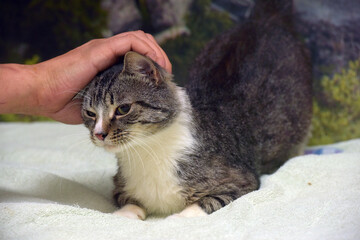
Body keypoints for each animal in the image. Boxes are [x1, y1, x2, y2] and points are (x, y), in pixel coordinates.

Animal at [80, 0, 310, 220]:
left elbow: (206, 202)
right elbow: (128, 199)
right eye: (90, 114)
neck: (148, 152)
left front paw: (177, 219)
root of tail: (265, 18)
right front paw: (124, 214)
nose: (99, 134)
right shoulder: (120, 185)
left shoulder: (243, 181)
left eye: (123, 109)